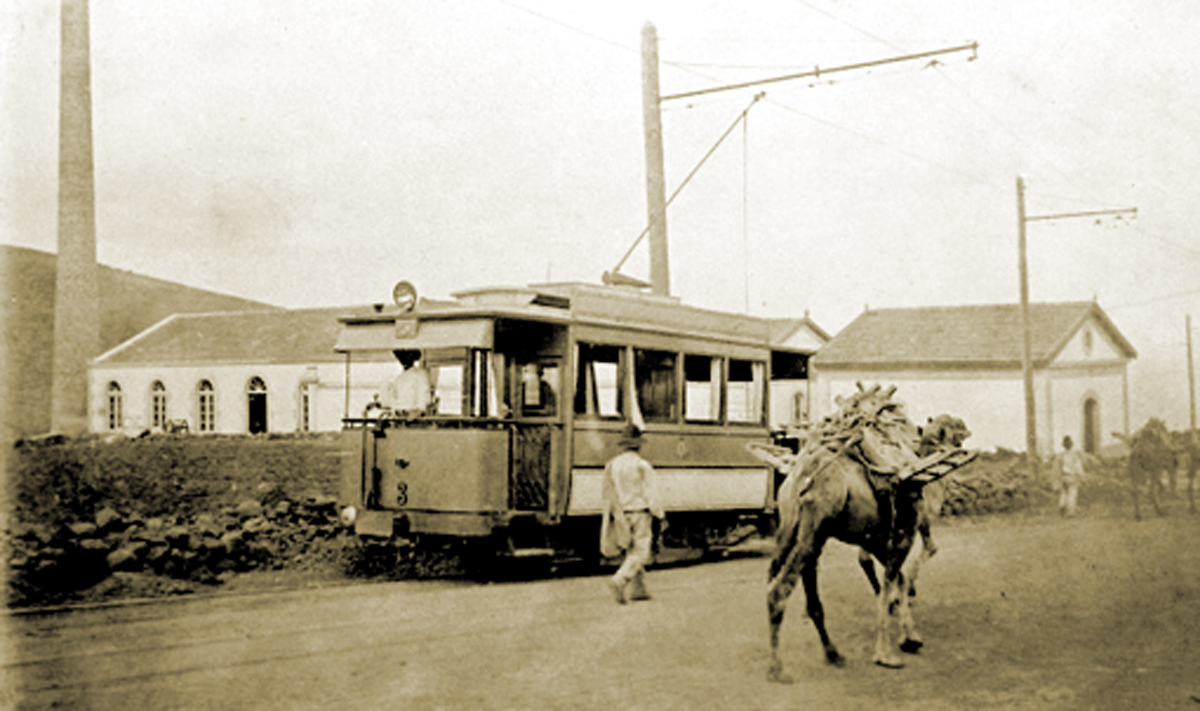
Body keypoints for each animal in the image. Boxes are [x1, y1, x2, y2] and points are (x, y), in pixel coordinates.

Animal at [758, 389, 974, 682]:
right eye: (956, 429)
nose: (967, 430)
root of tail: (801, 476)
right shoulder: (904, 529)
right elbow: (893, 580)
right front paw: (886, 653)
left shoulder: (873, 537)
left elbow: (896, 579)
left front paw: (910, 637)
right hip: (812, 528)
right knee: (778, 589)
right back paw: (776, 667)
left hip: (796, 528)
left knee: (783, 581)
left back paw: (833, 654)